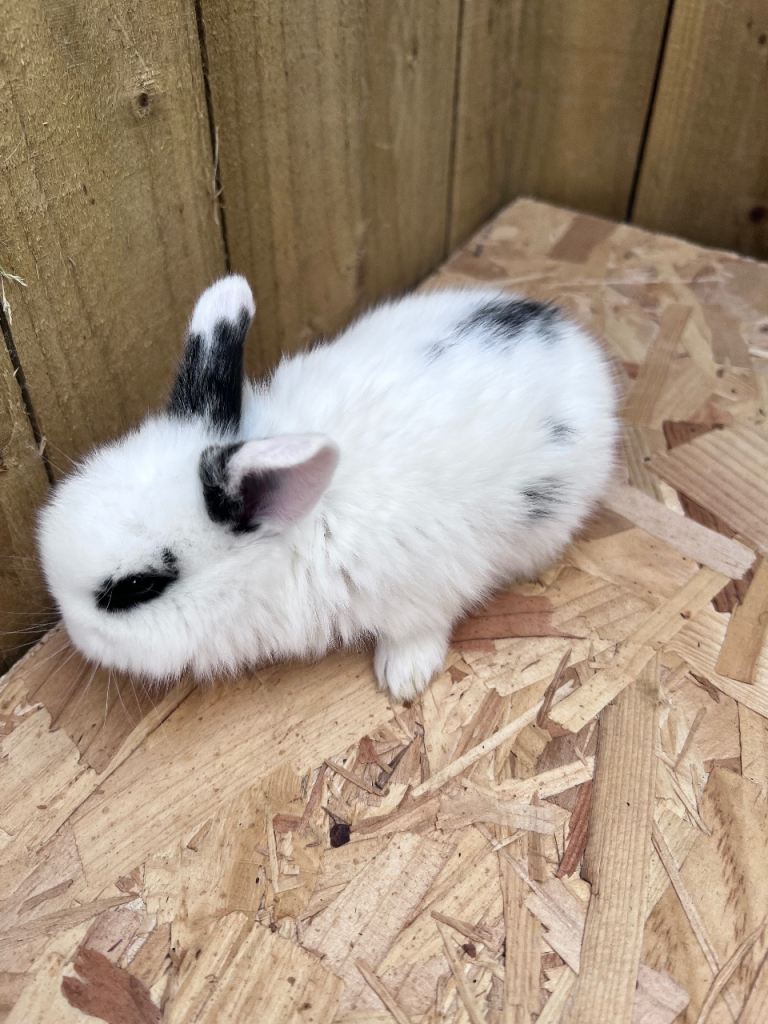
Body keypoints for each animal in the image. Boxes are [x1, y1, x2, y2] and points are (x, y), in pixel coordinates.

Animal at [38, 275, 618, 701]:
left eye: (136, 587)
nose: (73, 632)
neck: (301, 527)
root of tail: (578, 343)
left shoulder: (421, 589)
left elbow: (417, 631)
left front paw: (403, 679)